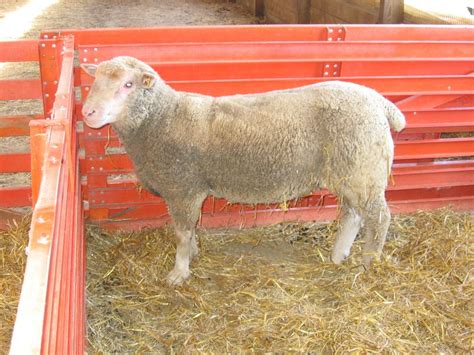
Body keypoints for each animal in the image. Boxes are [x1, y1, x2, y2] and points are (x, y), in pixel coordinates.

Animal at [80, 56, 404, 286]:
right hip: (350, 172)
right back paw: (338, 255)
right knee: (354, 214)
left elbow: (182, 232)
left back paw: (368, 262)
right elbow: (190, 229)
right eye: (95, 80)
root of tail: (379, 102)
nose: (88, 112)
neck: (162, 119)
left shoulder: (183, 187)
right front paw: (194, 253)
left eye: (128, 85)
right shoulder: (186, 190)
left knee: (379, 218)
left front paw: (179, 271)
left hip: (363, 169)